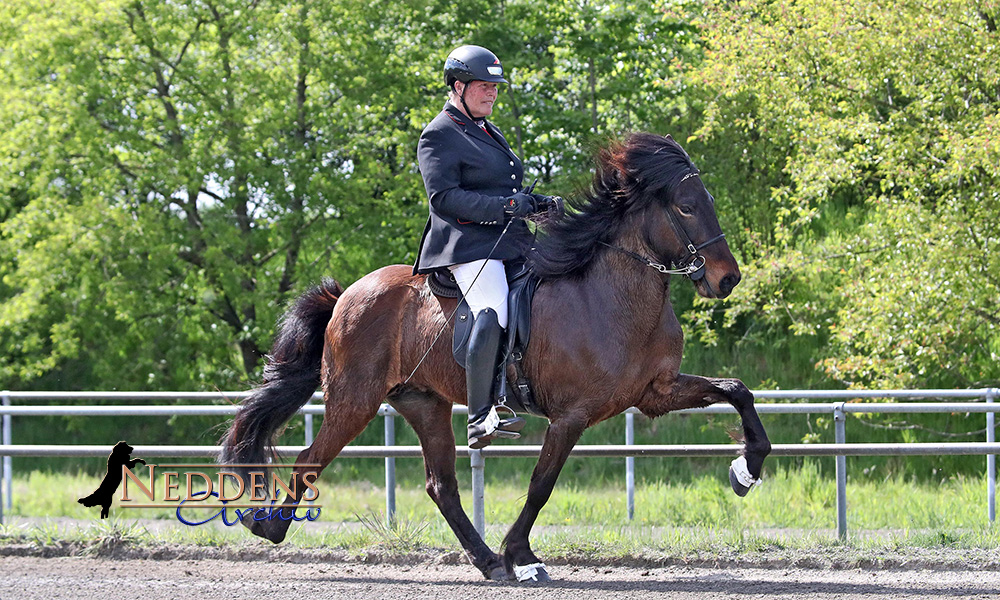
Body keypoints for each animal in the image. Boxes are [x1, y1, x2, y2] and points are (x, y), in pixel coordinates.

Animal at [221, 132, 772, 580]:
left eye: (707, 201)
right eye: (684, 206)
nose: (727, 279)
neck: (612, 294)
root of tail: (346, 296)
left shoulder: (657, 393)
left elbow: (738, 392)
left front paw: (745, 472)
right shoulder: (571, 416)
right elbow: (542, 484)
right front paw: (522, 555)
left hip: (423, 402)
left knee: (440, 485)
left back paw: (486, 562)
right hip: (355, 400)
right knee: (308, 462)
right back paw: (267, 527)